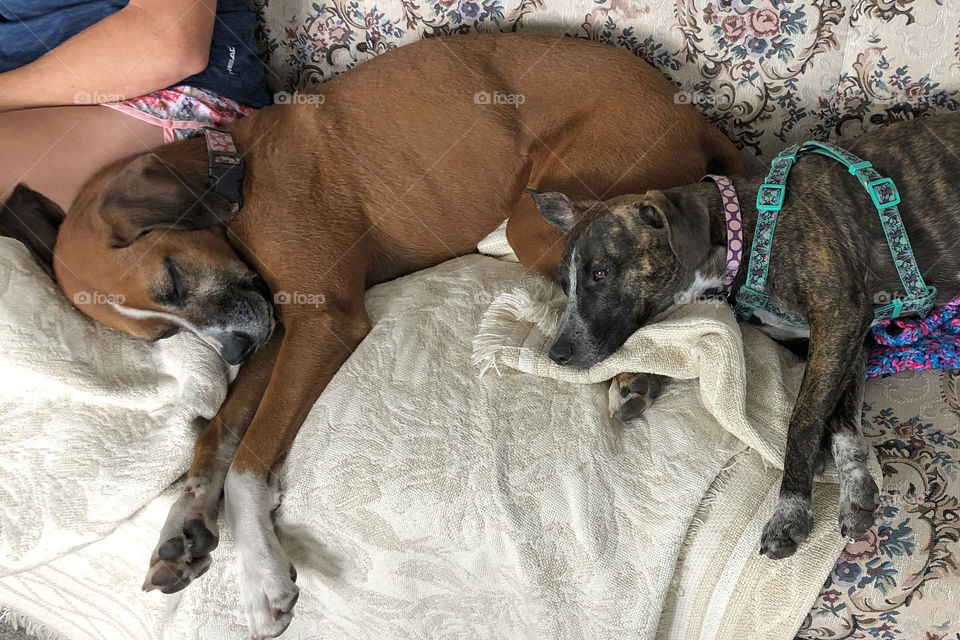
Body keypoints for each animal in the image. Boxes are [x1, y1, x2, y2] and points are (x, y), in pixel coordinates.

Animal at [0, 36, 744, 640]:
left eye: (172, 279)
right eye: (159, 331)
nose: (233, 354)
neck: (230, 172)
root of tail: (692, 111)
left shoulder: (320, 324)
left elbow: (247, 461)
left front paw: (260, 574)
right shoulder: (280, 331)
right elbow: (216, 437)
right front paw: (183, 520)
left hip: (552, 221)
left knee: (680, 287)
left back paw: (635, 368)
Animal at [532, 114, 960, 560]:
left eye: (601, 273)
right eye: (564, 284)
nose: (557, 354)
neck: (742, 236)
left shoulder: (840, 316)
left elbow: (804, 417)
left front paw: (792, 506)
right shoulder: (847, 339)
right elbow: (840, 419)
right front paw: (854, 486)